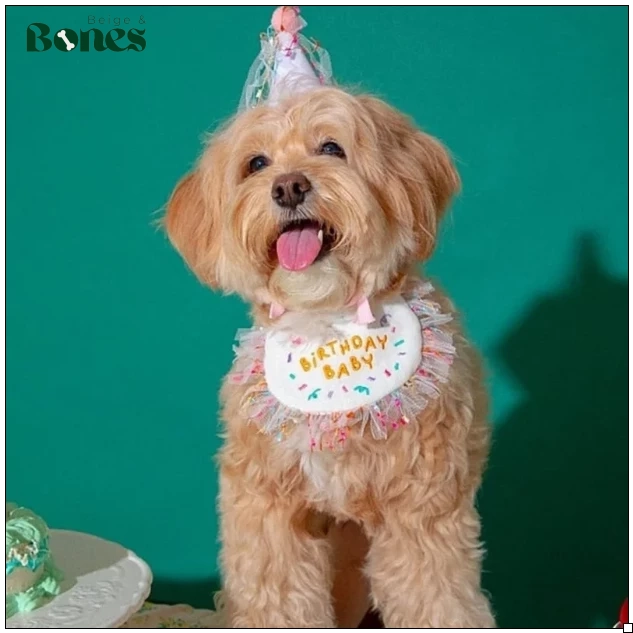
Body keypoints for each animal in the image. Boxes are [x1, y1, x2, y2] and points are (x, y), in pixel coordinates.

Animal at [165, 87, 496, 628]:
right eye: (256, 163)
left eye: (332, 148)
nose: (288, 187)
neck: (328, 324)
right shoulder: (266, 507)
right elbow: (275, 599)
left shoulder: (422, 510)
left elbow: (434, 598)